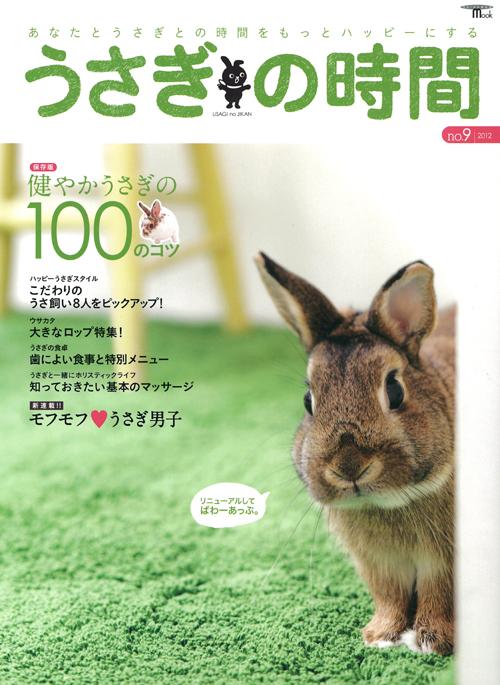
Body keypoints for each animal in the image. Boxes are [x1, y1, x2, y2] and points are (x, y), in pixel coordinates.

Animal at [255, 252, 455, 655]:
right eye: (308, 400)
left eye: (395, 389)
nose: (349, 467)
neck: (391, 503)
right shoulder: (379, 566)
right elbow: (390, 596)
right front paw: (381, 635)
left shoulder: (442, 563)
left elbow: (437, 595)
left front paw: (431, 641)